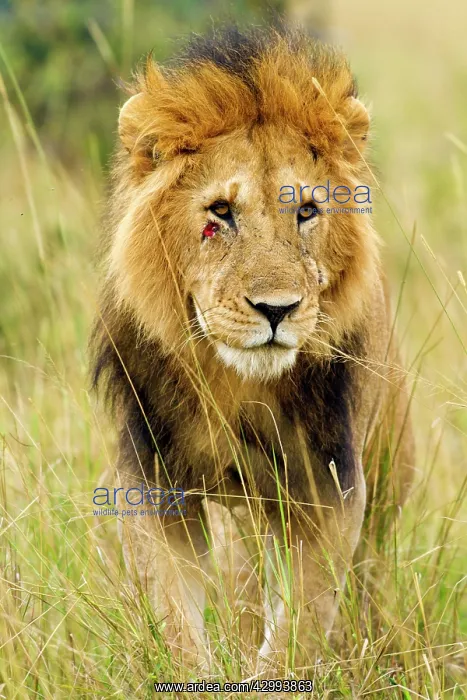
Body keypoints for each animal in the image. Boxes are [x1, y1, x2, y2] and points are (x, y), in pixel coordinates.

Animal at [91, 27, 415, 673]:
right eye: (220, 213)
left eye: (307, 211)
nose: (277, 309)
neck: (233, 385)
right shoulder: (152, 485)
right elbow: (175, 619)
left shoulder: (331, 488)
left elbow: (300, 625)